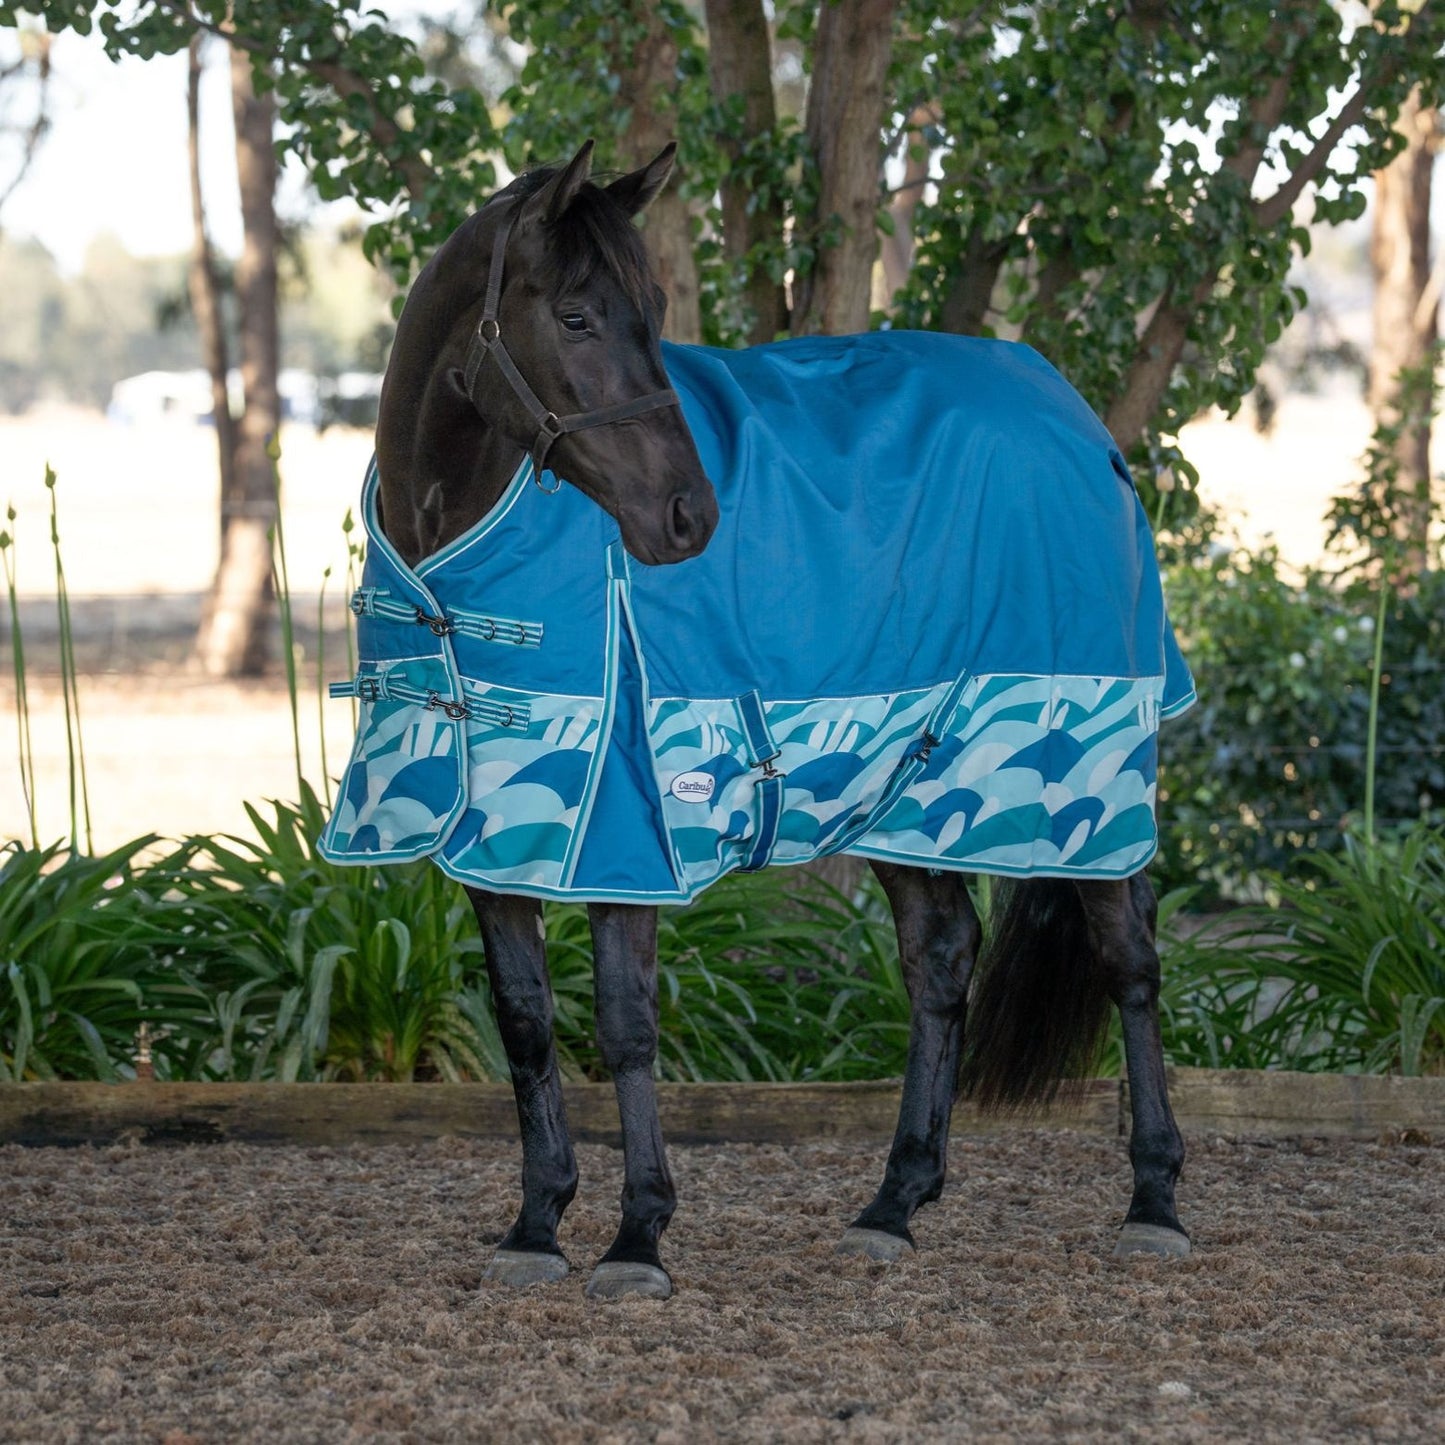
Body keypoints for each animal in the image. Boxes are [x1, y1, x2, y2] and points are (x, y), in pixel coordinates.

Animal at [321, 140, 1194, 1300]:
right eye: (575, 316)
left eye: (652, 311)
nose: (688, 517)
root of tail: (1078, 419)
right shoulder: (489, 833)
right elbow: (525, 1022)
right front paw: (536, 1225)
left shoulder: (619, 824)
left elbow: (625, 1024)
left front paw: (637, 1236)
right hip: (904, 774)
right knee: (939, 961)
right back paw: (893, 1202)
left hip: (1089, 770)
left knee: (1127, 955)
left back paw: (1153, 1199)